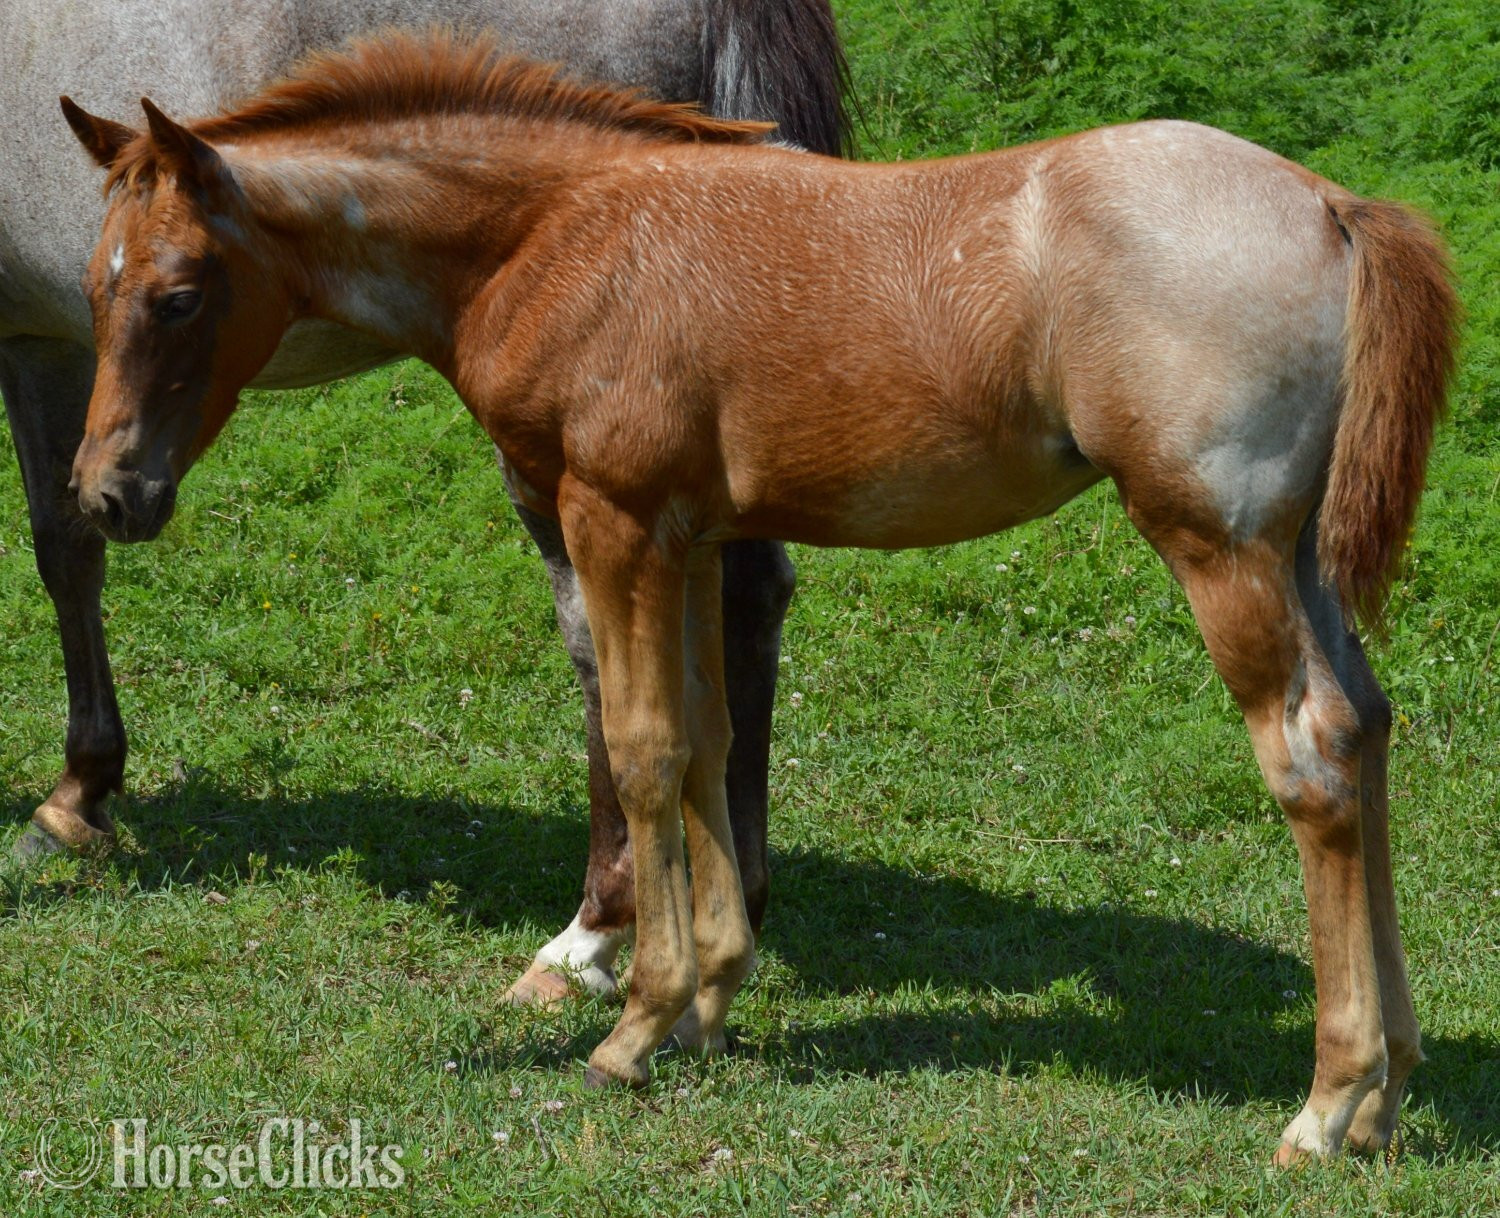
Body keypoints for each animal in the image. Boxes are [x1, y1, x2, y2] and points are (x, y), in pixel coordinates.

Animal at [0, 0, 848, 1005]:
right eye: (97, 286)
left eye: (178, 300)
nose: (119, 493)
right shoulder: (43, 335)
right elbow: (66, 548)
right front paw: (82, 790)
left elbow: (61, 554)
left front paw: (72, 799)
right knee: (744, 598)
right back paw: (738, 898)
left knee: (609, 644)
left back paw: (592, 935)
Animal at [61, 32, 1457, 1162]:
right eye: (90, 284)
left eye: (178, 293)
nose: (108, 495)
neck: (556, 235)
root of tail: (1331, 204)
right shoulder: (688, 534)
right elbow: (707, 741)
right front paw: (712, 1005)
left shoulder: (612, 518)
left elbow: (639, 749)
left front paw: (634, 1026)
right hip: (1303, 552)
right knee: (1369, 727)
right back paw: (1389, 1094)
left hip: (1220, 545)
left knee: (1311, 761)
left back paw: (1326, 1106)